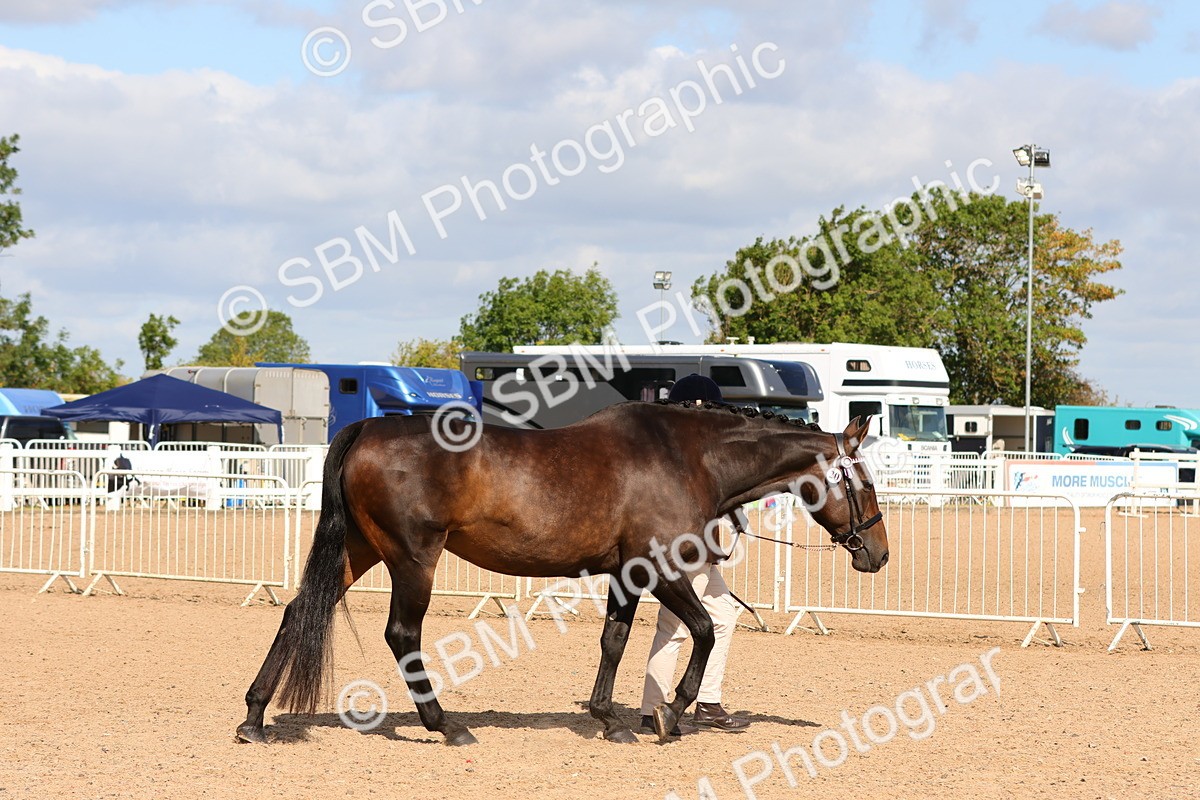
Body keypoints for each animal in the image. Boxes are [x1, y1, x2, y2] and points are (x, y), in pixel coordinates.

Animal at [236, 400, 889, 745]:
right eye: (864, 482)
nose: (878, 554)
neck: (686, 457)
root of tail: (369, 426)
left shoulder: (628, 573)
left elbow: (614, 640)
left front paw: (609, 719)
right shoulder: (662, 569)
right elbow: (704, 631)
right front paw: (669, 715)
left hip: (359, 550)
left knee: (299, 611)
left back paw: (254, 716)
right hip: (413, 558)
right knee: (403, 635)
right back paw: (445, 725)